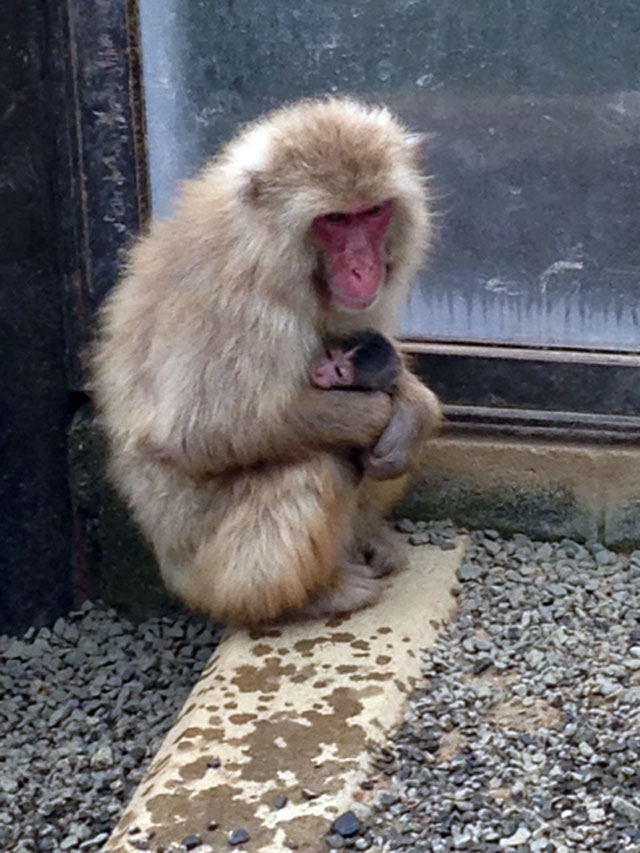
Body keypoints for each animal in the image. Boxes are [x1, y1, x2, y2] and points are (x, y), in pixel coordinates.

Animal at [92, 98, 442, 624]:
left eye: (372, 212)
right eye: (335, 220)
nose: (363, 267)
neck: (267, 248)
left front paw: (413, 412)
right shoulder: (239, 305)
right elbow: (204, 431)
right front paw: (380, 414)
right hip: (209, 568)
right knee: (316, 463)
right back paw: (312, 595)